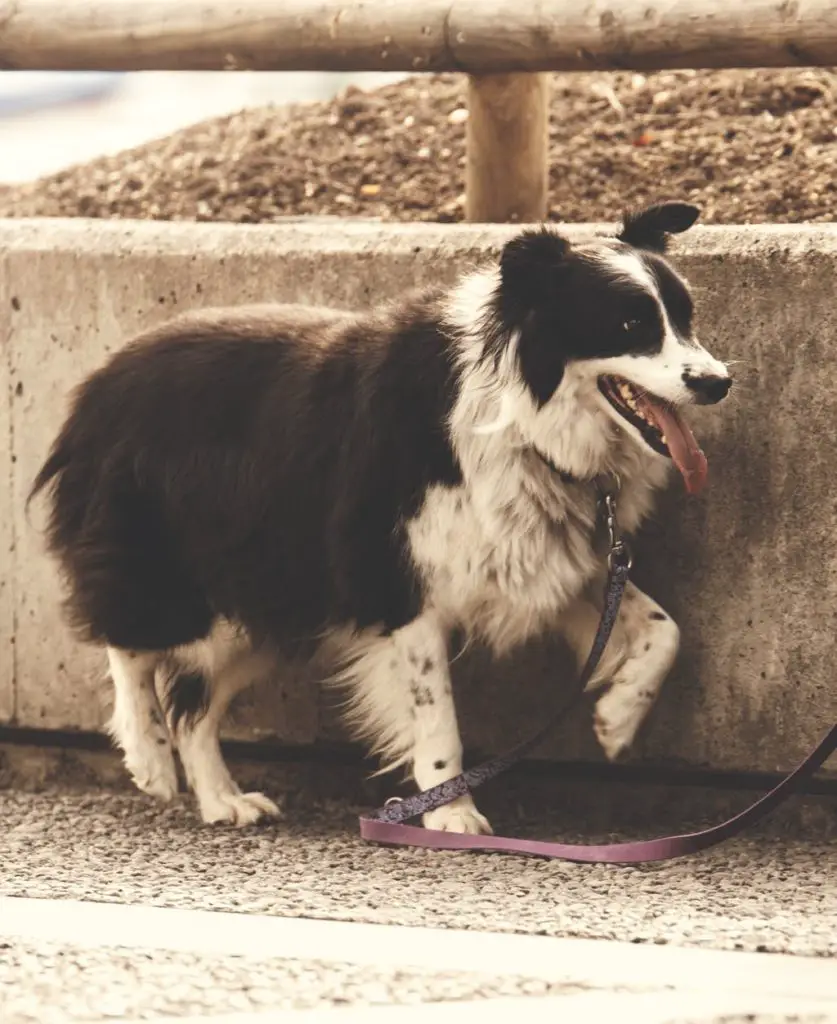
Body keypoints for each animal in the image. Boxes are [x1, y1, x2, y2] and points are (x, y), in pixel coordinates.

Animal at [29, 203, 729, 835]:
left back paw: (223, 800)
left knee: (193, 706)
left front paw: (616, 719)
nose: (717, 382)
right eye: (630, 323)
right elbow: (436, 712)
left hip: (273, 592)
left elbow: (665, 629)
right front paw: (452, 814)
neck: (522, 416)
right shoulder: (401, 581)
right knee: (128, 642)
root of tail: (97, 384)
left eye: (686, 318)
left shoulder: (543, 557)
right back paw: (149, 757)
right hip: (175, 561)